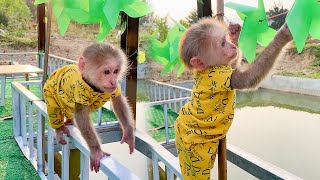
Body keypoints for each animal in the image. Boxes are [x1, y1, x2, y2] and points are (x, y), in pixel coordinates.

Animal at [42, 42, 135, 173]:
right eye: (107, 72)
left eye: (116, 71)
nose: (113, 81)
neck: (94, 87)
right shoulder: (80, 90)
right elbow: (81, 117)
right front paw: (96, 150)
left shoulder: (113, 89)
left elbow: (117, 100)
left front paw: (128, 131)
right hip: (49, 89)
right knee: (54, 108)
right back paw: (59, 128)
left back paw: (69, 120)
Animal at [175, 18, 292, 180]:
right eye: (222, 44)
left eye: (226, 40)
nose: (231, 45)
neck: (206, 69)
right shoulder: (220, 74)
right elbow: (247, 79)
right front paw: (283, 35)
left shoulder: (226, 66)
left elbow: (234, 64)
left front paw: (235, 33)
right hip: (192, 157)